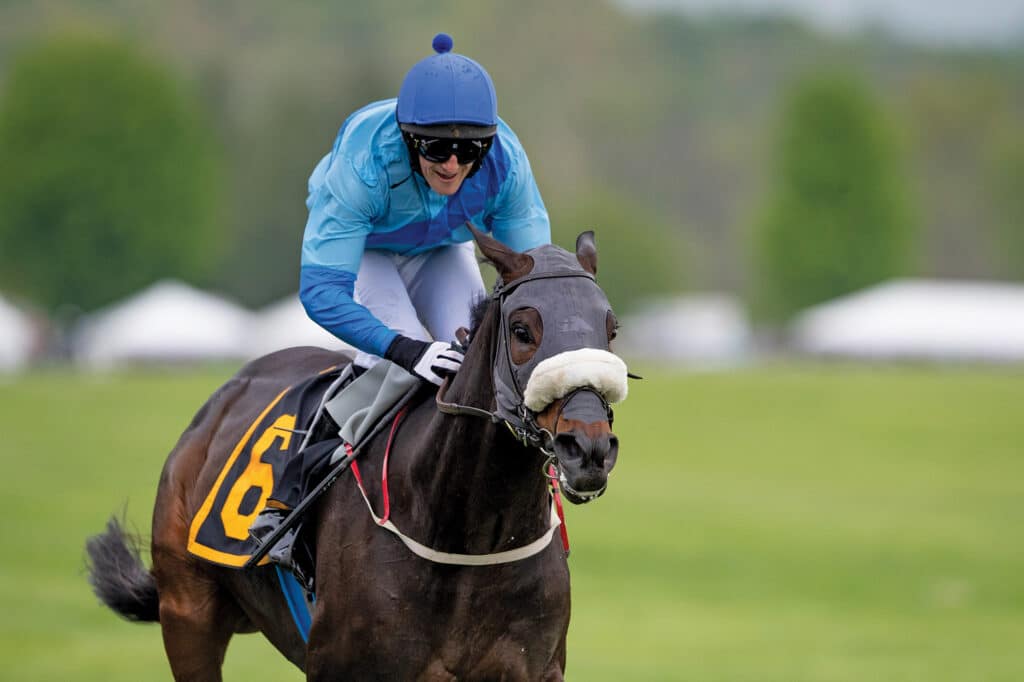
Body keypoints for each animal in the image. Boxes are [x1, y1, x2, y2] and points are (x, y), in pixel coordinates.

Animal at [88, 225, 626, 675]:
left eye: (611, 330)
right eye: (522, 331)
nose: (588, 448)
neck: (468, 537)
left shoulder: (533, 667)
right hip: (188, 613)